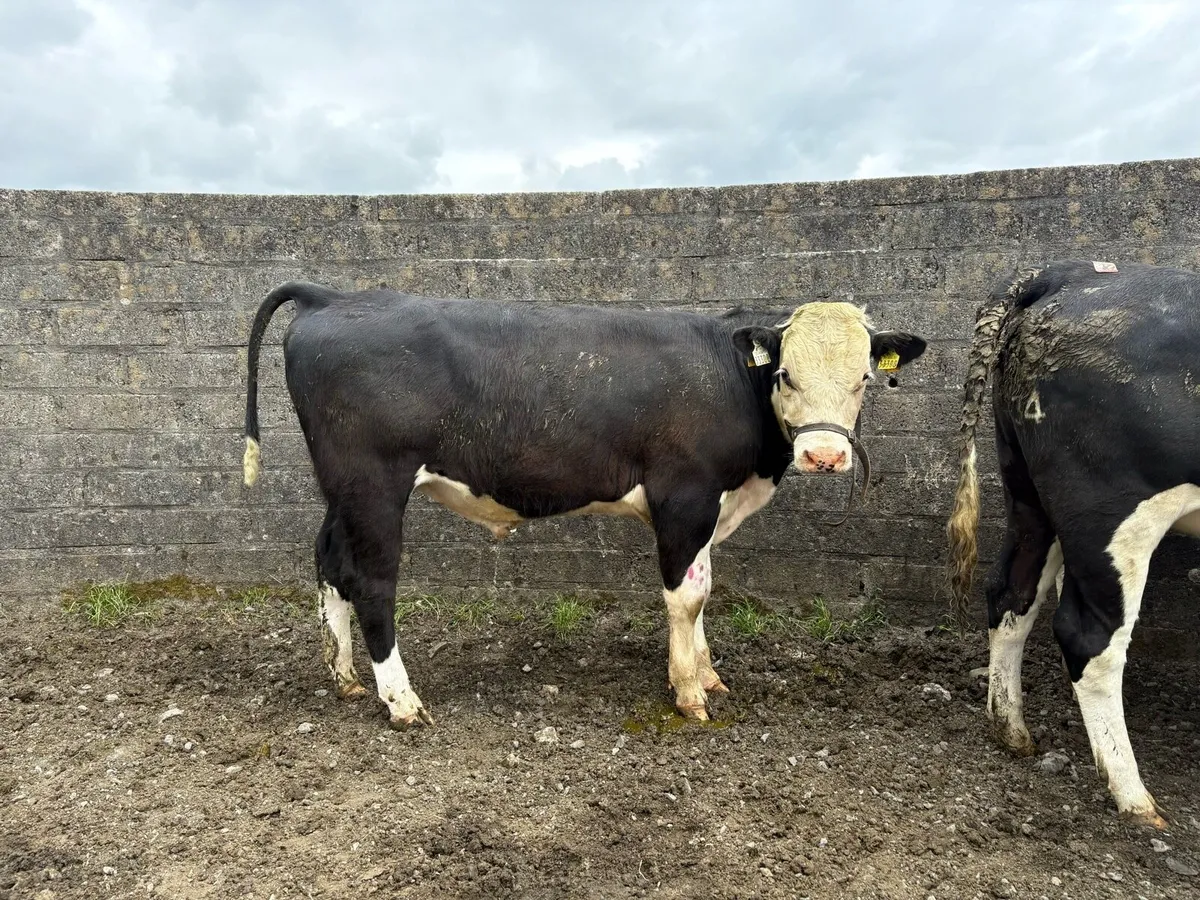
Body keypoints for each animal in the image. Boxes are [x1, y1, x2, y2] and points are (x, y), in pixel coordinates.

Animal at [242, 282, 926, 729]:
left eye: (864, 378)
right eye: (785, 374)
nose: (823, 456)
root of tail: (330, 296)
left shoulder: (710, 507)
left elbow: (705, 588)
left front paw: (706, 672)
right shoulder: (685, 495)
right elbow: (688, 597)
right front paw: (688, 693)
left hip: (342, 491)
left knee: (330, 562)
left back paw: (346, 678)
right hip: (374, 484)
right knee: (372, 582)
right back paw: (402, 702)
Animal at [946, 259, 1200, 830]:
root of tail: (1068, 272)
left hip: (1029, 492)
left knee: (1011, 595)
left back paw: (1013, 732)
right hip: (1110, 507)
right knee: (1089, 637)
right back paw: (1135, 798)